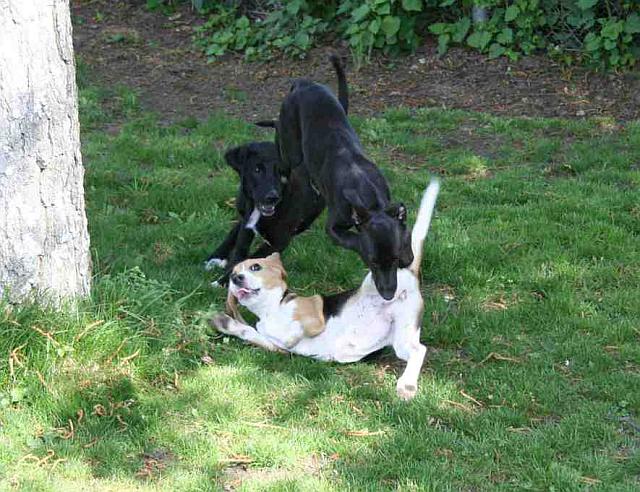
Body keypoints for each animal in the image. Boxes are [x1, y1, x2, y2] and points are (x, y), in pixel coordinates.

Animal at [204, 141, 324, 285]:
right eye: (257, 170)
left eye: (281, 173)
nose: (272, 197)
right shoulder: (247, 222)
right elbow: (239, 247)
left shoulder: (279, 241)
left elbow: (251, 259)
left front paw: (223, 281)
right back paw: (216, 258)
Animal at [210, 179, 440, 400]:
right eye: (232, 275)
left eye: (255, 267)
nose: (235, 278)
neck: (271, 310)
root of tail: (409, 272)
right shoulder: (274, 346)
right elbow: (249, 332)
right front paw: (225, 323)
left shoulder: (313, 319)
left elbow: (295, 330)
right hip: (400, 339)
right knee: (416, 350)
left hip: (376, 284)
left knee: (420, 350)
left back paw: (407, 385)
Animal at [268, 54, 411, 300]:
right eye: (372, 262)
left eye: (393, 259)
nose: (388, 294)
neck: (367, 195)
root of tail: (304, 83)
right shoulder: (334, 227)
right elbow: (352, 238)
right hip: (289, 147)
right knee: (281, 151)